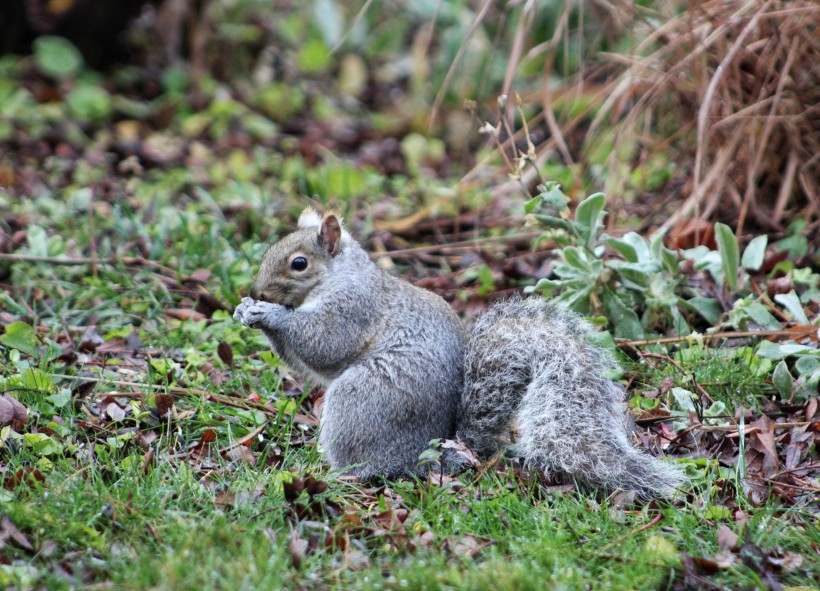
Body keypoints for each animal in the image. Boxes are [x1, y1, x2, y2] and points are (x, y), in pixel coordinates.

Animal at [234, 208, 684, 500]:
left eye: (299, 263)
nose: (257, 291)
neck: (339, 275)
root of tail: (435, 452)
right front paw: (245, 309)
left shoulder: (353, 307)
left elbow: (323, 344)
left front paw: (268, 313)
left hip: (365, 400)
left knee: (371, 466)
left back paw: (340, 474)